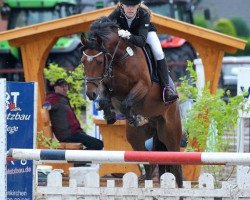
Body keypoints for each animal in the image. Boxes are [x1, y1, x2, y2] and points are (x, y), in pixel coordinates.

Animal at [81, 16, 183, 188]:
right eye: (83, 61)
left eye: (100, 61)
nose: (90, 93)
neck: (120, 58)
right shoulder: (108, 85)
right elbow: (106, 100)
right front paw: (110, 115)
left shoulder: (142, 86)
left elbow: (126, 103)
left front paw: (135, 118)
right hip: (136, 138)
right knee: (149, 161)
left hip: (171, 134)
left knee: (176, 164)